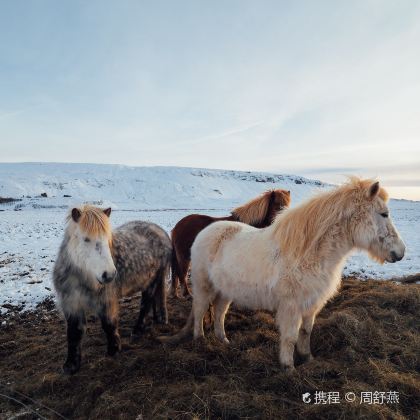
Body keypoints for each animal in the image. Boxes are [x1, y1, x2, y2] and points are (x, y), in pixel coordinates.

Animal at [53, 207, 171, 374]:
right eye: (85, 239)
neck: (81, 278)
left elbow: (109, 325)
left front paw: (113, 350)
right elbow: (74, 333)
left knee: (146, 303)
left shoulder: (106, 301)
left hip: (153, 281)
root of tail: (160, 231)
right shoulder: (71, 304)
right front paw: (71, 365)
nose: (108, 275)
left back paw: (138, 329)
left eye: (107, 238)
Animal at [159, 178, 406, 370]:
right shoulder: (291, 306)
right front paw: (289, 367)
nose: (400, 252)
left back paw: (224, 341)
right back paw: (200, 340)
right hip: (203, 286)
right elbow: (289, 337)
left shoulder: (311, 304)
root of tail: (206, 232)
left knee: (219, 313)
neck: (308, 253)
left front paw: (308, 359)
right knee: (200, 311)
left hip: (225, 290)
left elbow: (306, 332)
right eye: (384, 214)